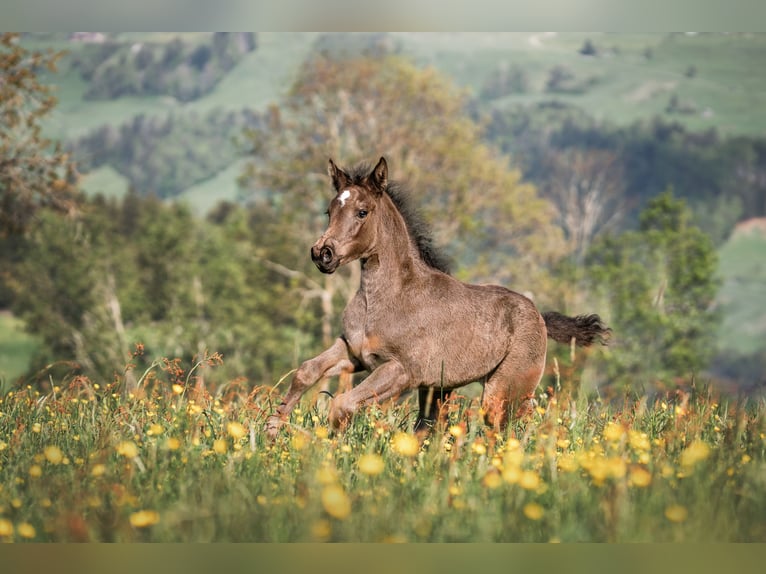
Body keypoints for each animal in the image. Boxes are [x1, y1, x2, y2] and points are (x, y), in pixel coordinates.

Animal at [266, 158, 612, 440]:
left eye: (362, 212)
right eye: (329, 211)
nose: (322, 253)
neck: (387, 299)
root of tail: (539, 315)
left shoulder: (400, 371)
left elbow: (341, 404)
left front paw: (328, 451)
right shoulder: (354, 353)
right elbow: (306, 371)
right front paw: (272, 428)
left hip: (504, 393)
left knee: (508, 432)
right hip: (439, 390)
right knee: (429, 429)